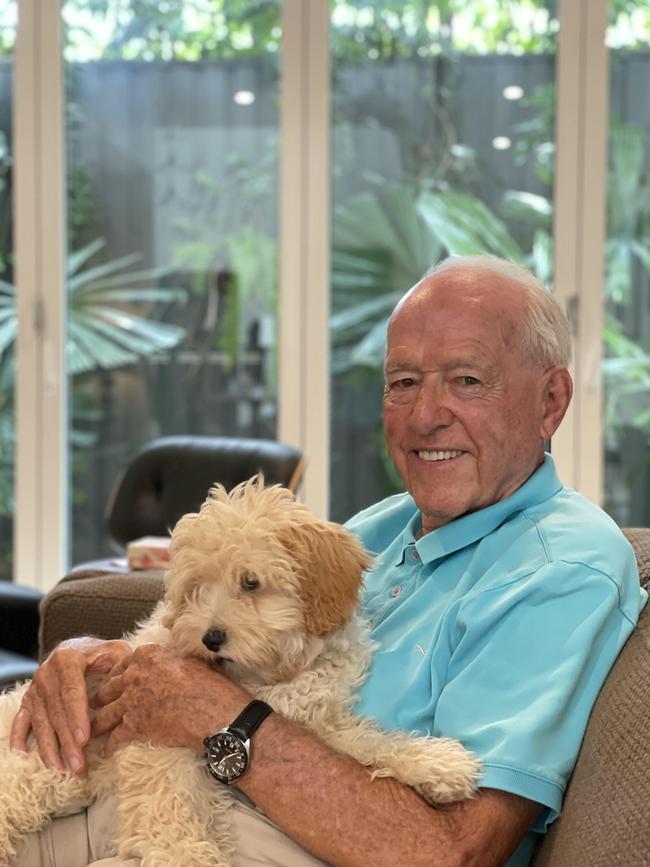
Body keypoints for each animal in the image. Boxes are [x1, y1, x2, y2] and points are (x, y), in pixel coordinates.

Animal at [0, 478, 476, 864]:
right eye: (196, 589)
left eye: (251, 582)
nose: (210, 637)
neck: (264, 681)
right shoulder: (154, 741)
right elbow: (169, 810)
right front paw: (188, 857)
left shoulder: (313, 724)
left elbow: (366, 740)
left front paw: (436, 764)